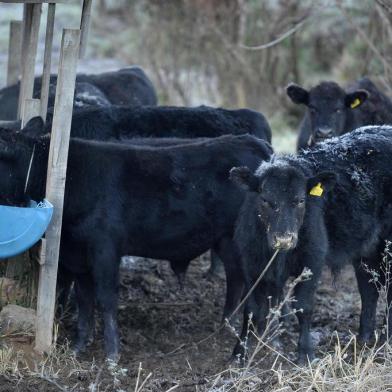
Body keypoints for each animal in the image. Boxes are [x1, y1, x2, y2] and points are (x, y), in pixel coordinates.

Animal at [0, 129, 272, 362]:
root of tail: (253, 141)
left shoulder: (105, 248)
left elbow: (106, 298)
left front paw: (112, 354)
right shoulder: (78, 253)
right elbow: (84, 299)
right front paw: (79, 347)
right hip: (225, 240)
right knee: (235, 278)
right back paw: (227, 324)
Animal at [231, 126, 392, 364]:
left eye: (300, 200)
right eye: (265, 200)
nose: (284, 239)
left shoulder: (312, 261)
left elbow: (303, 306)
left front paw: (305, 353)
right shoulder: (251, 263)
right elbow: (251, 309)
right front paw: (239, 353)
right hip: (367, 250)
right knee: (368, 288)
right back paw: (364, 339)